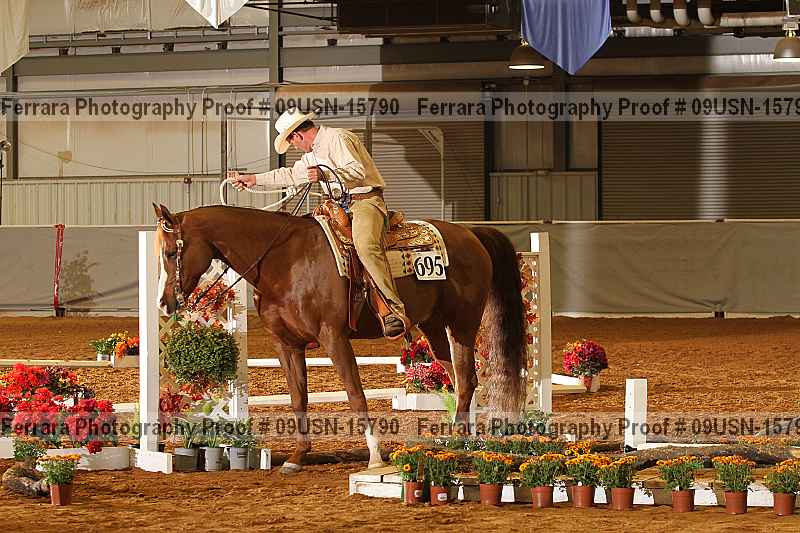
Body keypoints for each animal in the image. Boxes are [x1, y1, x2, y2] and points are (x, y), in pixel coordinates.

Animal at [152, 203, 526, 474]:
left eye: (171, 253)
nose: (164, 303)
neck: (283, 261)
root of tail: (471, 232)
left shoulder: (333, 337)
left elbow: (355, 394)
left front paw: (375, 456)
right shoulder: (286, 344)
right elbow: (298, 398)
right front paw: (297, 457)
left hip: (462, 324)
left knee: (467, 379)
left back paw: (458, 442)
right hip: (434, 326)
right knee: (459, 379)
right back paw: (455, 439)